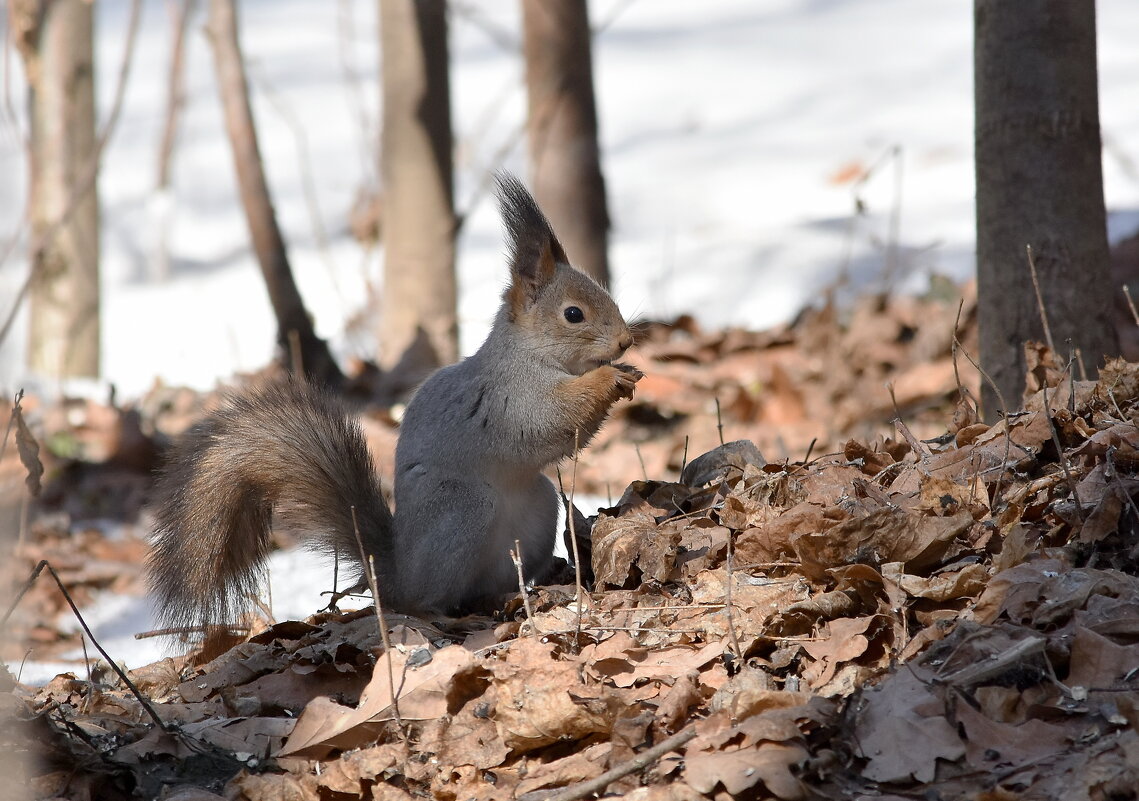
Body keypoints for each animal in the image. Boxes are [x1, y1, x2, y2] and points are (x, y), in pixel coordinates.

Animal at [148, 172, 642, 628]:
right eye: (573, 314)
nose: (625, 342)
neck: (532, 355)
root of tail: (396, 571)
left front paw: (625, 376)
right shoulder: (511, 398)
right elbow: (553, 420)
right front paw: (608, 379)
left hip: (538, 503)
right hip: (462, 508)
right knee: (424, 598)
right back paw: (444, 610)